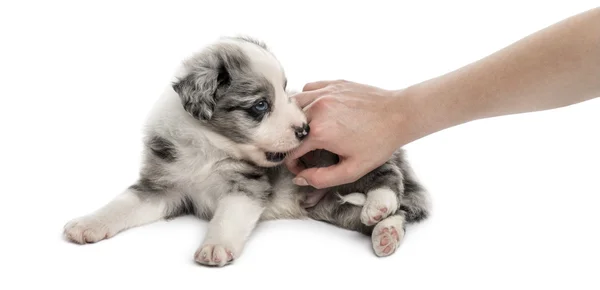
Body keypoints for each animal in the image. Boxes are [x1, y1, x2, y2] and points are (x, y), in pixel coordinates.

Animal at [63, 36, 432, 268]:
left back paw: (379, 205)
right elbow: (121, 205)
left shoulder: (246, 187)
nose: (305, 129)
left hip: (347, 152)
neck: (208, 148)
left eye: (285, 92)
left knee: (388, 180)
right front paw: (88, 224)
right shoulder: (162, 186)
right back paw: (385, 233)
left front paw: (215, 246)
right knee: (391, 214)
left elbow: (228, 217)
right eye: (260, 105)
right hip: (333, 207)